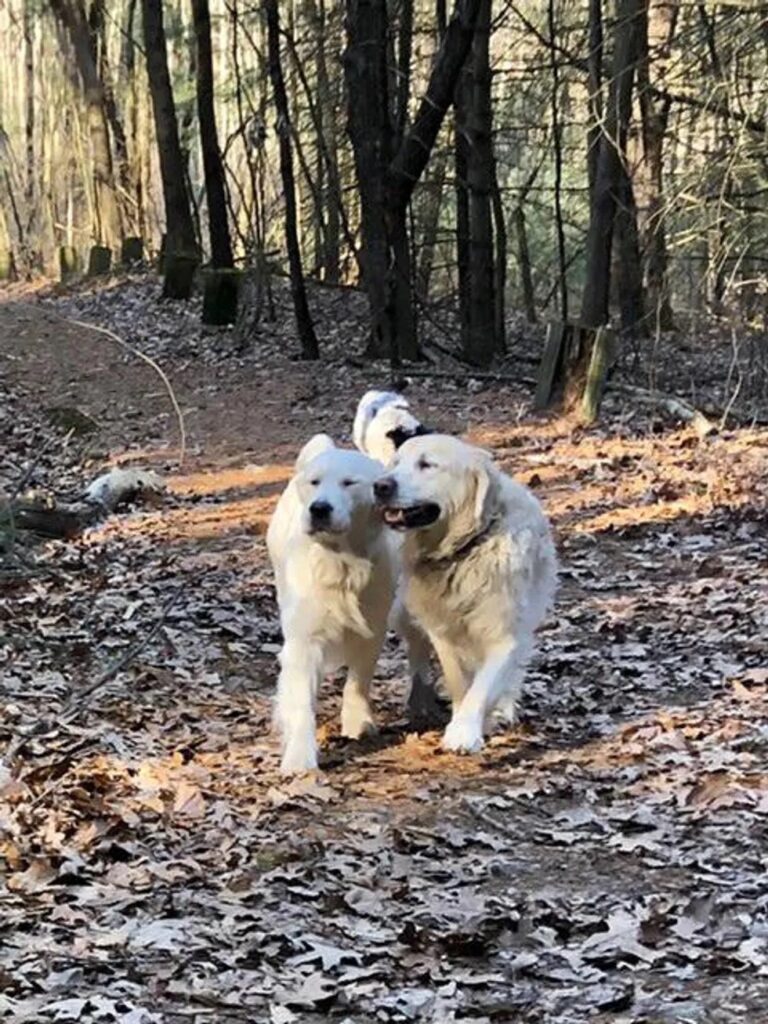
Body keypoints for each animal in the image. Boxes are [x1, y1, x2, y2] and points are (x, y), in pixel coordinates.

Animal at [268, 434, 397, 774]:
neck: (341, 562)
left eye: (349, 483)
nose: (319, 509)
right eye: (315, 482)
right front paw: (299, 757)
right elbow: (301, 702)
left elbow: (358, 680)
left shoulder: (372, 630)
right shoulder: (304, 639)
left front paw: (358, 721)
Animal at [370, 432, 552, 753]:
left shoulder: (505, 635)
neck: (464, 551)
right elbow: (459, 681)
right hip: (406, 612)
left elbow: (484, 684)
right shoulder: (443, 631)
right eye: (396, 463)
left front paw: (465, 731)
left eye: (426, 464)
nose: (380, 486)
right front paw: (461, 716)